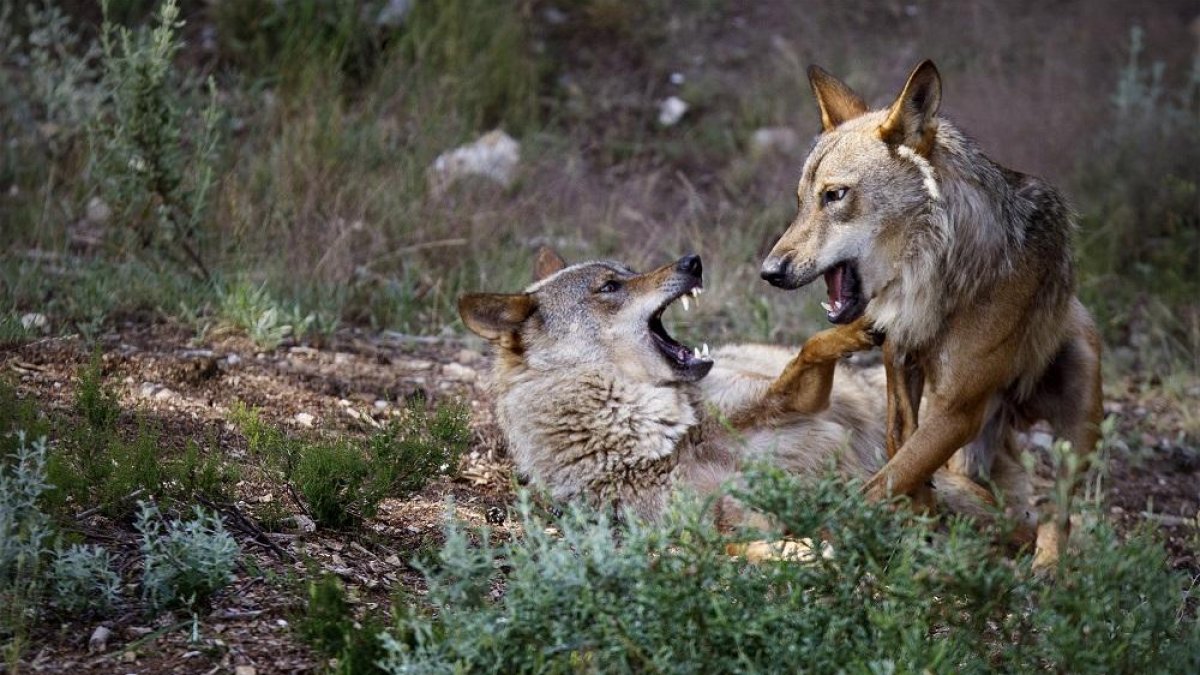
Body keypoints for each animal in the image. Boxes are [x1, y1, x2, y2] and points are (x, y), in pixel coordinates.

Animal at [458, 249, 1022, 535]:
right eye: (610, 288)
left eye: (626, 271)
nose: (692, 260)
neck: (668, 438)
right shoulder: (734, 523)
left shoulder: (792, 400)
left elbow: (811, 346)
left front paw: (861, 325)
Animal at [759, 60, 1103, 568]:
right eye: (800, 201)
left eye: (835, 195)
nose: (769, 271)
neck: (935, 275)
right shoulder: (900, 356)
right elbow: (898, 443)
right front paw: (921, 505)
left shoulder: (958, 410)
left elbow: (881, 482)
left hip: (1080, 401)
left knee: (1058, 516)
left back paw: (1046, 570)